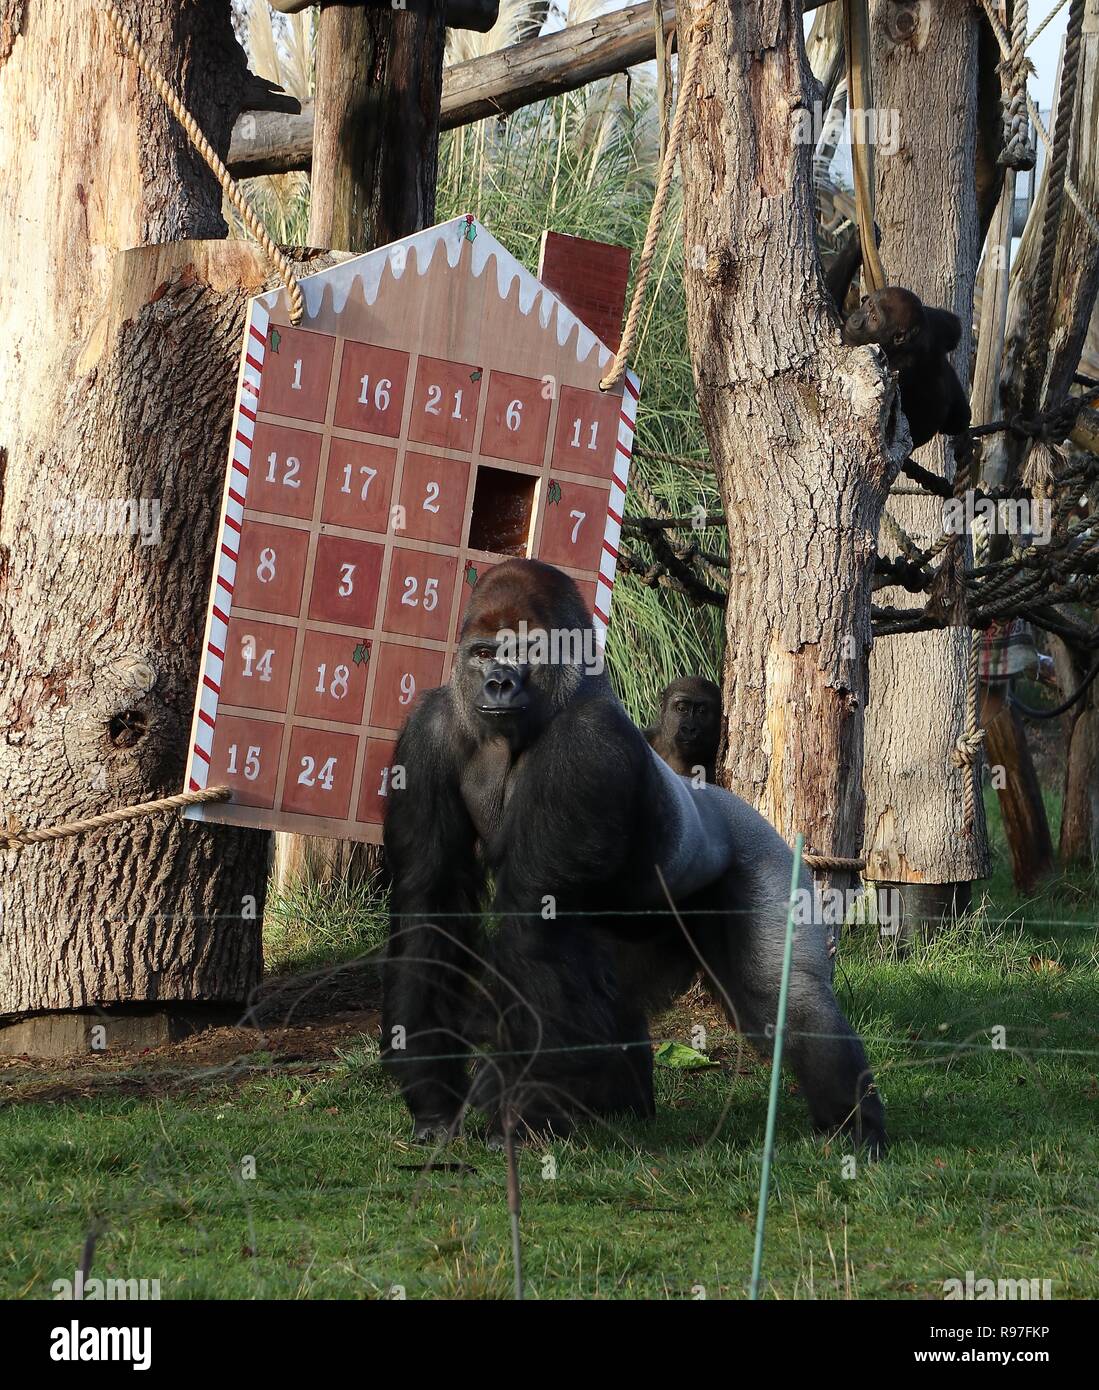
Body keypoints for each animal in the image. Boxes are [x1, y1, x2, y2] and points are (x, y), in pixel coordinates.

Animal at [383, 558, 889, 1156]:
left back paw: (856, 1124)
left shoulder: (588, 744)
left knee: (786, 999)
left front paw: (516, 1104)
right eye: (484, 653)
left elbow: (532, 922)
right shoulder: (429, 728)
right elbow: (430, 899)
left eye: (526, 650)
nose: (498, 682)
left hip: (770, 857)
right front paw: (435, 1096)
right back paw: (622, 1107)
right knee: (613, 988)